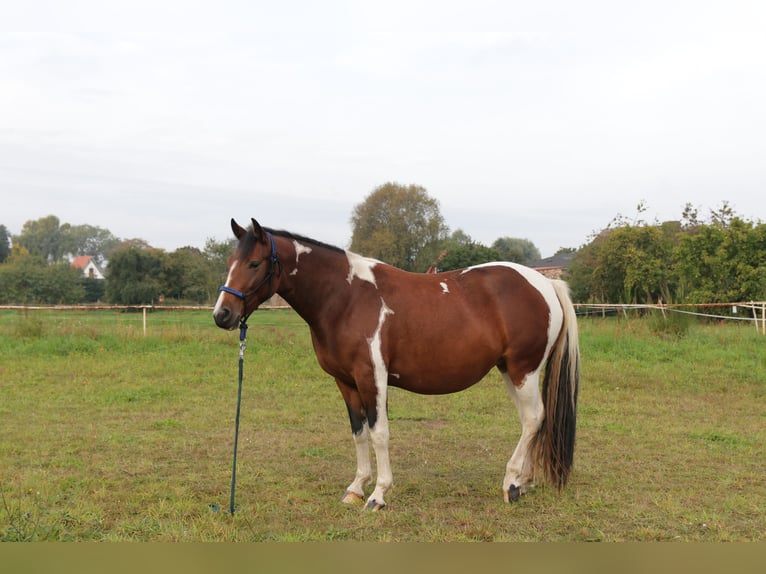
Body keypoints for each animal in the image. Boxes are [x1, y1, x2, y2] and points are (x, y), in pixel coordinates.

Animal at [213, 218, 579, 510]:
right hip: (510, 371)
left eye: (254, 263)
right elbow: (359, 433)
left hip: (523, 369)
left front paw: (378, 495)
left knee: (533, 418)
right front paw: (356, 489)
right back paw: (525, 482)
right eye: (230, 261)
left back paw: (511, 484)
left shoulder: (371, 377)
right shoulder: (346, 382)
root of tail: (546, 283)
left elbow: (379, 433)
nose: (222, 315)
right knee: (532, 420)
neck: (345, 297)